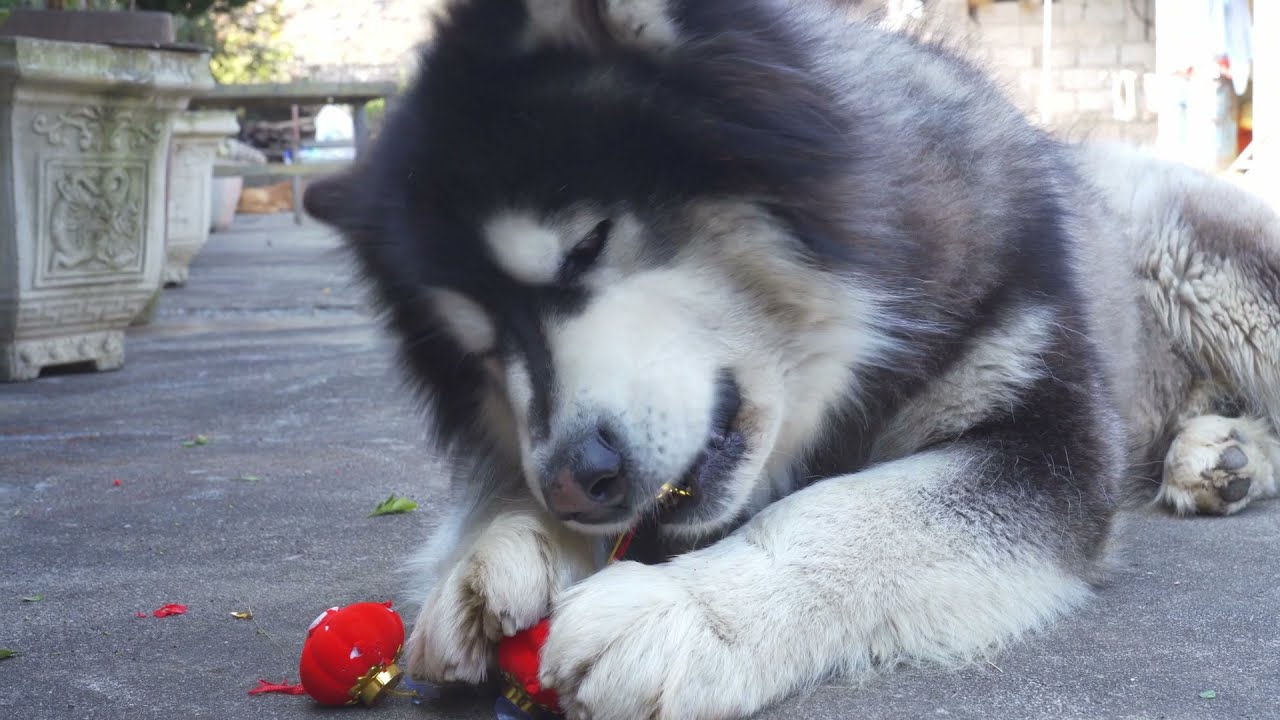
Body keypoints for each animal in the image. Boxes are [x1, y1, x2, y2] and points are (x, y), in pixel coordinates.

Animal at [307, 2, 1280, 712]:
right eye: (480, 348)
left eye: (586, 247)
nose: (574, 484)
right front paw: (500, 547)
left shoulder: (1047, 438)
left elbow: (849, 515)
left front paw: (686, 613)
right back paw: (1223, 455)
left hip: (1214, 272)